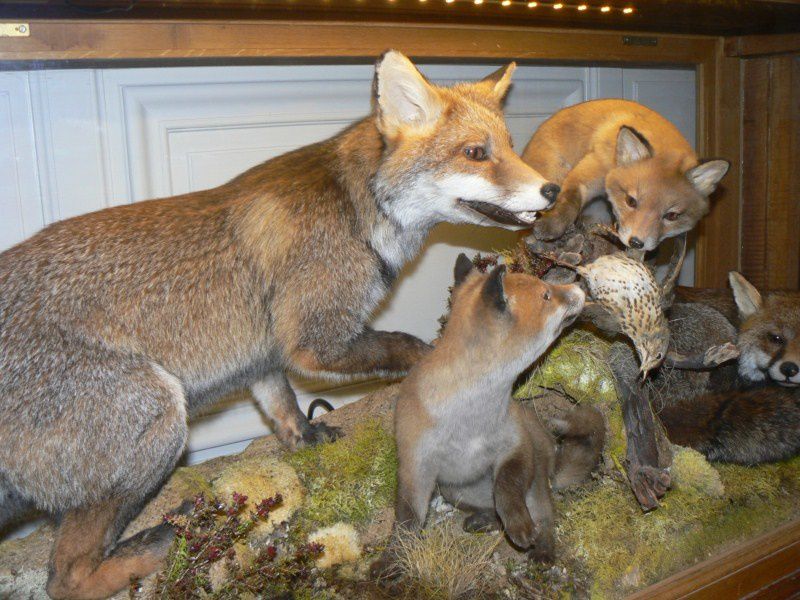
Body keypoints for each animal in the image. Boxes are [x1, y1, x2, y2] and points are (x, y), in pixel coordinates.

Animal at [0, 52, 556, 600]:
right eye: (475, 153)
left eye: (510, 146)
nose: (551, 188)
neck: (356, 210)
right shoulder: (315, 341)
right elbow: (408, 347)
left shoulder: (266, 353)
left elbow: (281, 403)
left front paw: (302, 436)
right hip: (159, 413)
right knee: (67, 578)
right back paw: (162, 540)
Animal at [520, 99, 728, 250]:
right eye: (631, 201)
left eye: (672, 216)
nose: (636, 243)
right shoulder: (586, 174)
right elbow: (569, 201)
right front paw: (553, 226)